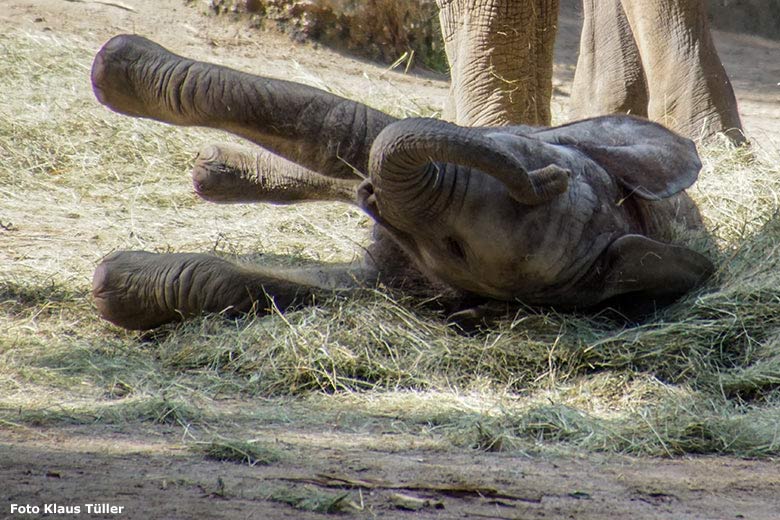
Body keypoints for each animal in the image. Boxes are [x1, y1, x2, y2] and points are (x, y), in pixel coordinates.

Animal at [88, 34, 708, 332]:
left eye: (457, 248)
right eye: (522, 151)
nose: (546, 179)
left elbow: (272, 285)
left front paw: (114, 284)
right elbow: (345, 126)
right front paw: (116, 67)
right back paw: (211, 171)